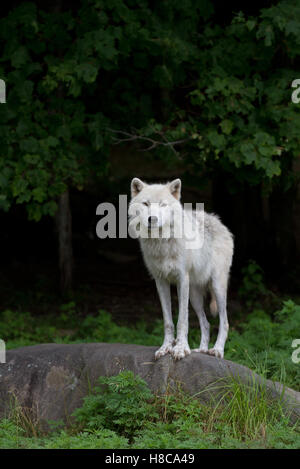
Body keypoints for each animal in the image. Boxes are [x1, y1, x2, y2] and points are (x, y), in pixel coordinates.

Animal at [127, 177, 233, 360]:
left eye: (163, 204)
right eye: (146, 203)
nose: (152, 219)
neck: (161, 243)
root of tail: (218, 222)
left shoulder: (182, 279)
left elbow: (182, 320)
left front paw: (180, 349)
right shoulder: (160, 281)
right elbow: (168, 321)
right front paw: (166, 348)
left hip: (217, 288)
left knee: (224, 322)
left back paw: (217, 350)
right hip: (195, 296)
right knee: (206, 323)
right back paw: (201, 349)